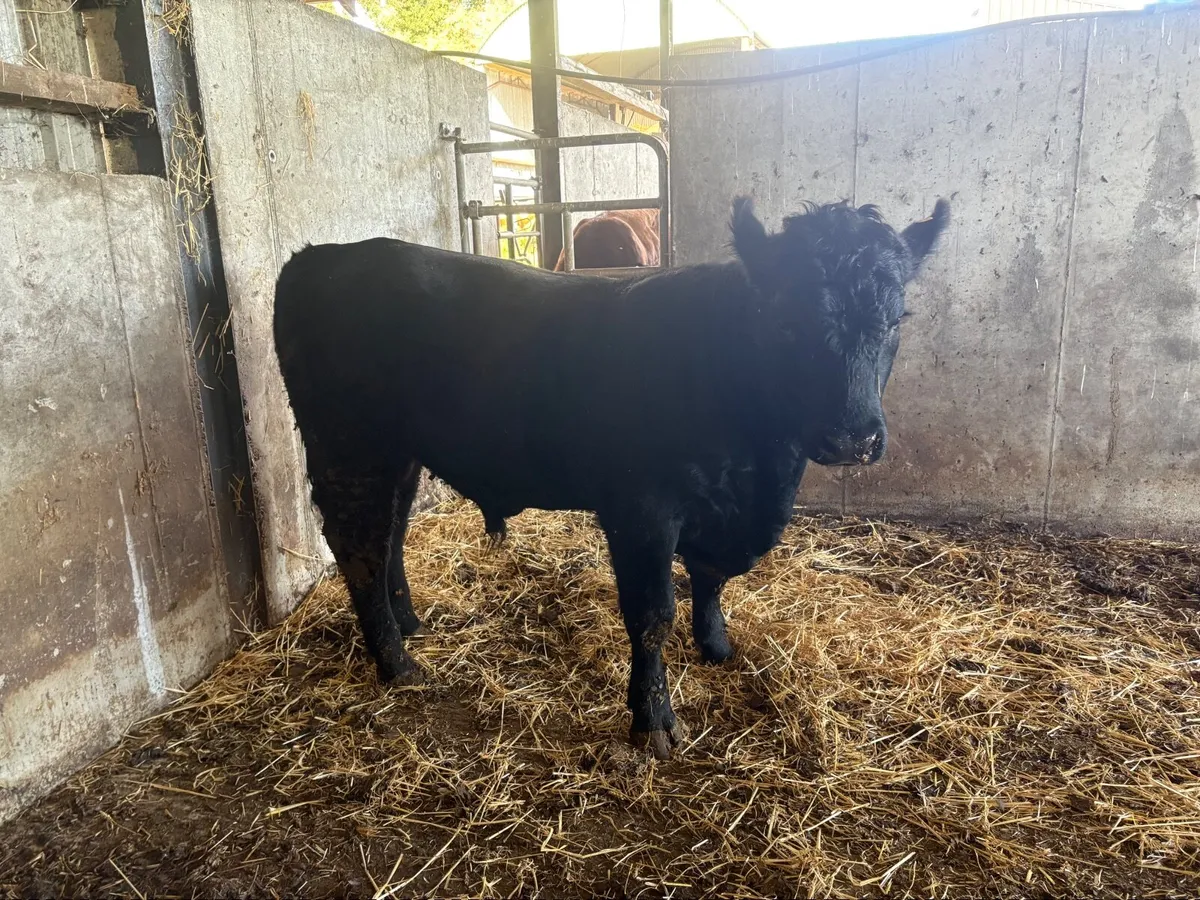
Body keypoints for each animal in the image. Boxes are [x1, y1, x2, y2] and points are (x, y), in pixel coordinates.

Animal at [273, 196, 950, 759]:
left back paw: (409, 623)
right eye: (785, 321)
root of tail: (323, 256)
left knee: (390, 531)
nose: (852, 438)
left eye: (896, 319)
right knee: (358, 546)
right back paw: (397, 662)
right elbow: (652, 614)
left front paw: (716, 647)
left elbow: (710, 577)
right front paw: (653, 723)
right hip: (349, 448)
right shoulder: (642, 509)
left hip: (401, 455)